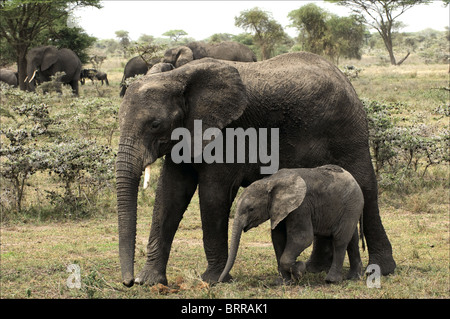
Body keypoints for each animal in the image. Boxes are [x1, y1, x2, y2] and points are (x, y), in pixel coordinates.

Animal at [219, 166, 366, 284]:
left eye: (251, 209)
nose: (220, 281)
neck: (270, 181)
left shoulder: (301, 206)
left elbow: (302, 238)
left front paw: (300, 270)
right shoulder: (279, 209)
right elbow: (278, 239)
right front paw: (283, 282)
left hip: (351, 205)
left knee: (340, 239)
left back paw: (331, 280)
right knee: (352, 239)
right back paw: (354, 277)